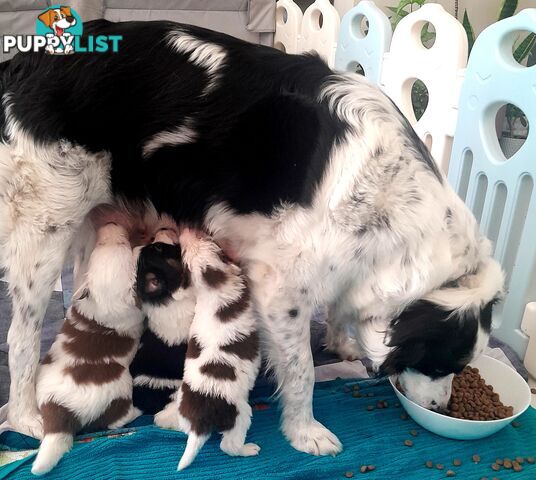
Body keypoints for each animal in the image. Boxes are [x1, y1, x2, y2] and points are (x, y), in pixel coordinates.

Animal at [31, 208, 143, 474]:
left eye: (99, 247)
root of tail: (61, 413)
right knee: (116, 419)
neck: (104, 301)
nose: (111, 223)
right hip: (121, 390)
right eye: (123, 245)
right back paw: (136, 413)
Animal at [153, 228, 262, 468]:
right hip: (240, 414)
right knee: (229, 446)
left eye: (183, 255)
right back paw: (248, 449)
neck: (212, 288)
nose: (186, 231)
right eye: (212, 240)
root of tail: (198, 425)